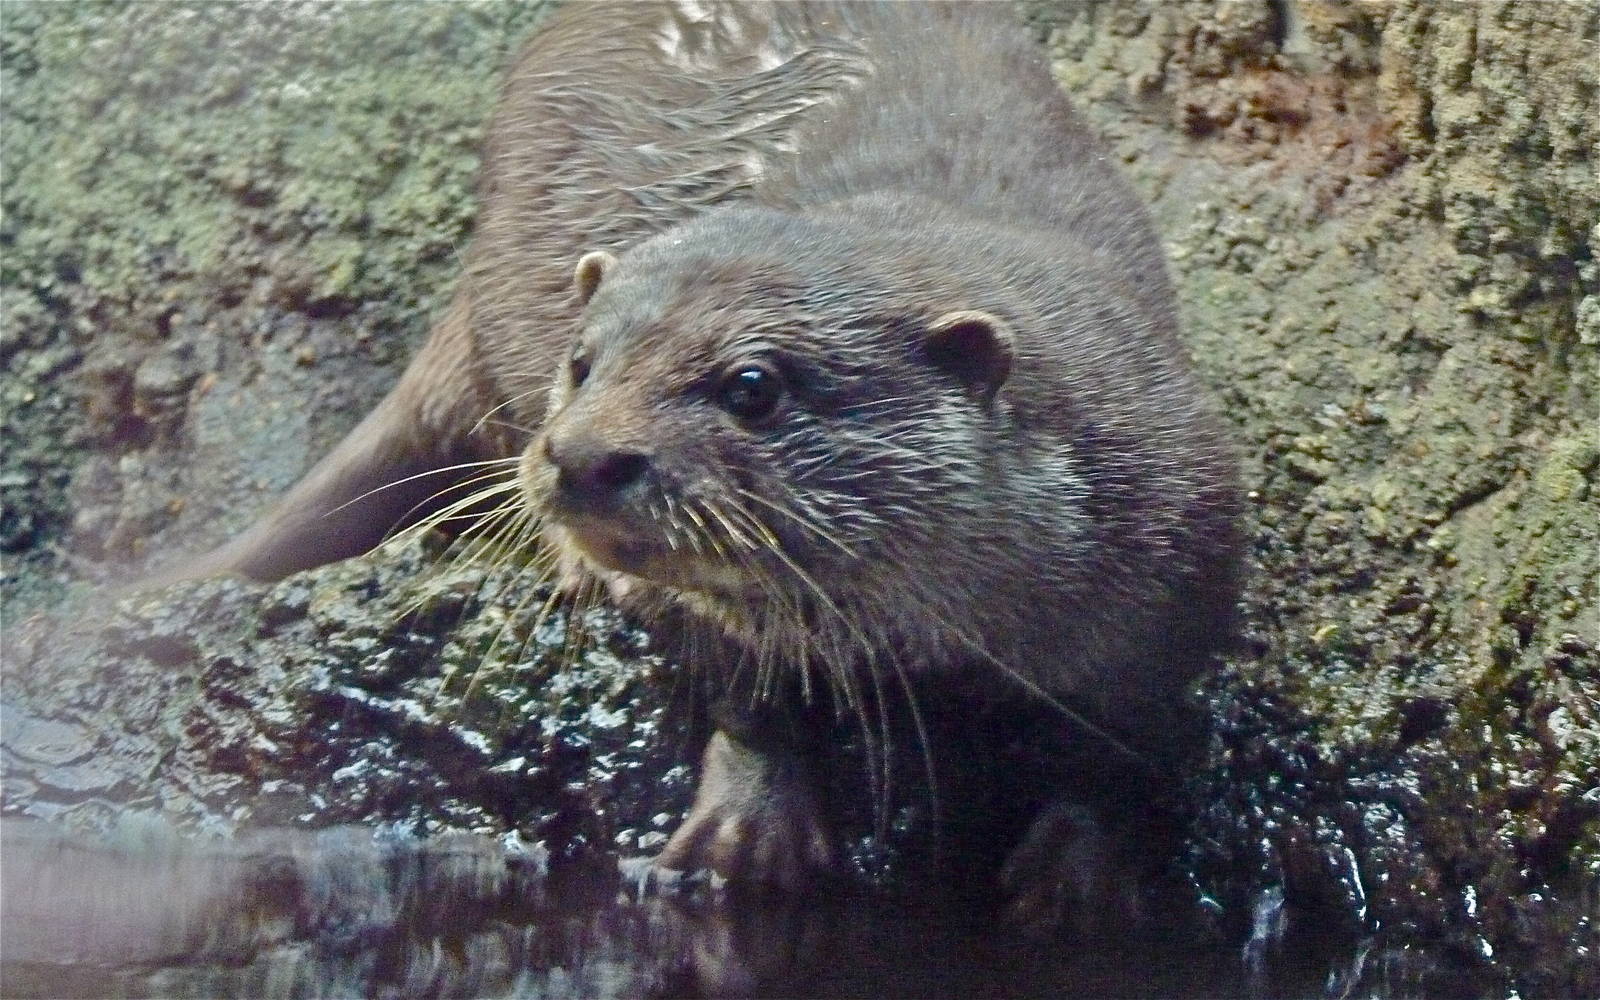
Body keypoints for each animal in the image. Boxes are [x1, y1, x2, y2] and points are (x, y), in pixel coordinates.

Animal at [181, 1, 1243, 915]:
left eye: (752, 386)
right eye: (584, 362)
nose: (580, 455)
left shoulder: (1176, 567)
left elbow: (1125, 750)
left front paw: (1082, 872)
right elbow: (742, 693)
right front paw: (750, 827)